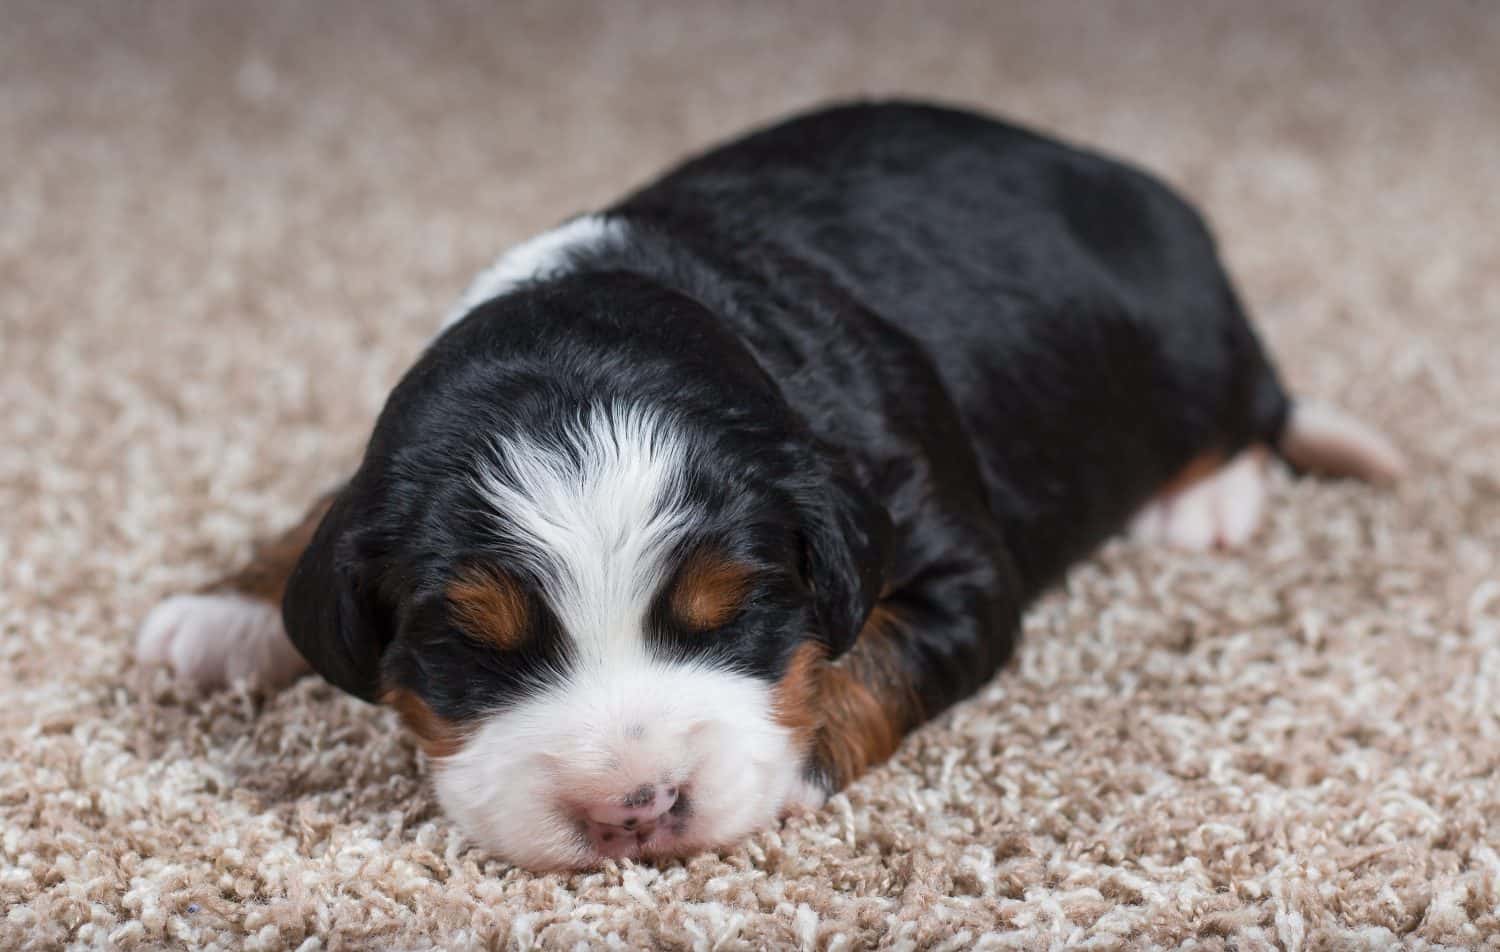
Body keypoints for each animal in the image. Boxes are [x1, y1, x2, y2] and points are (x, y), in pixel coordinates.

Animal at [135, 102, 1398, 869]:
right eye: (473, 646)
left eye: (731, 614)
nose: (634, 808)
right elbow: (326, 507)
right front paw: (232, 603)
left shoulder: (949, 559)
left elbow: (869, 658)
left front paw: (786, 757)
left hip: (1194, 345)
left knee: (1250, 409)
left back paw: (1206, 500)